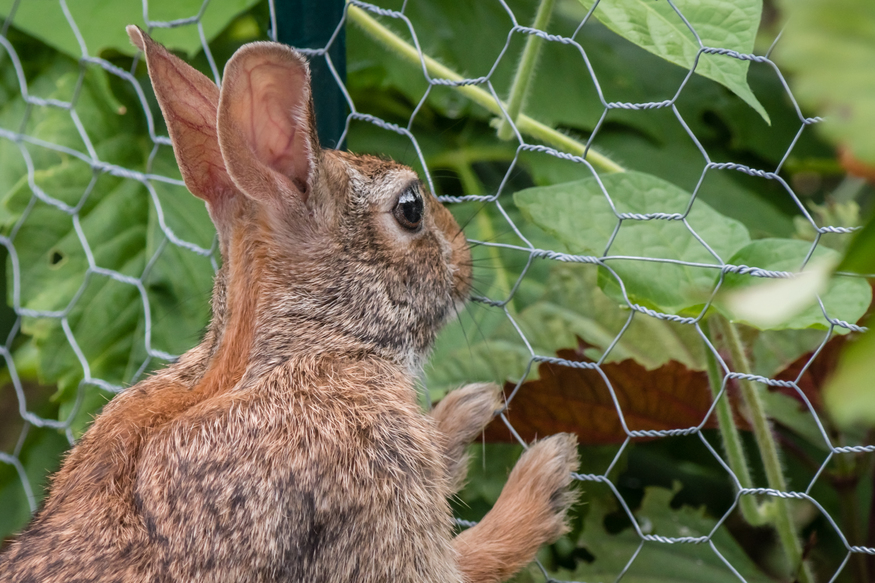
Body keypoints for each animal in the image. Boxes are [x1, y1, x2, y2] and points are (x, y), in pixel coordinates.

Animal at [0, 27, 579, 583]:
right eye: (411, 209)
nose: (464, 264)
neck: (303, 346)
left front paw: (467, 411)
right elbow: (468, 561)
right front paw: (542, 478)